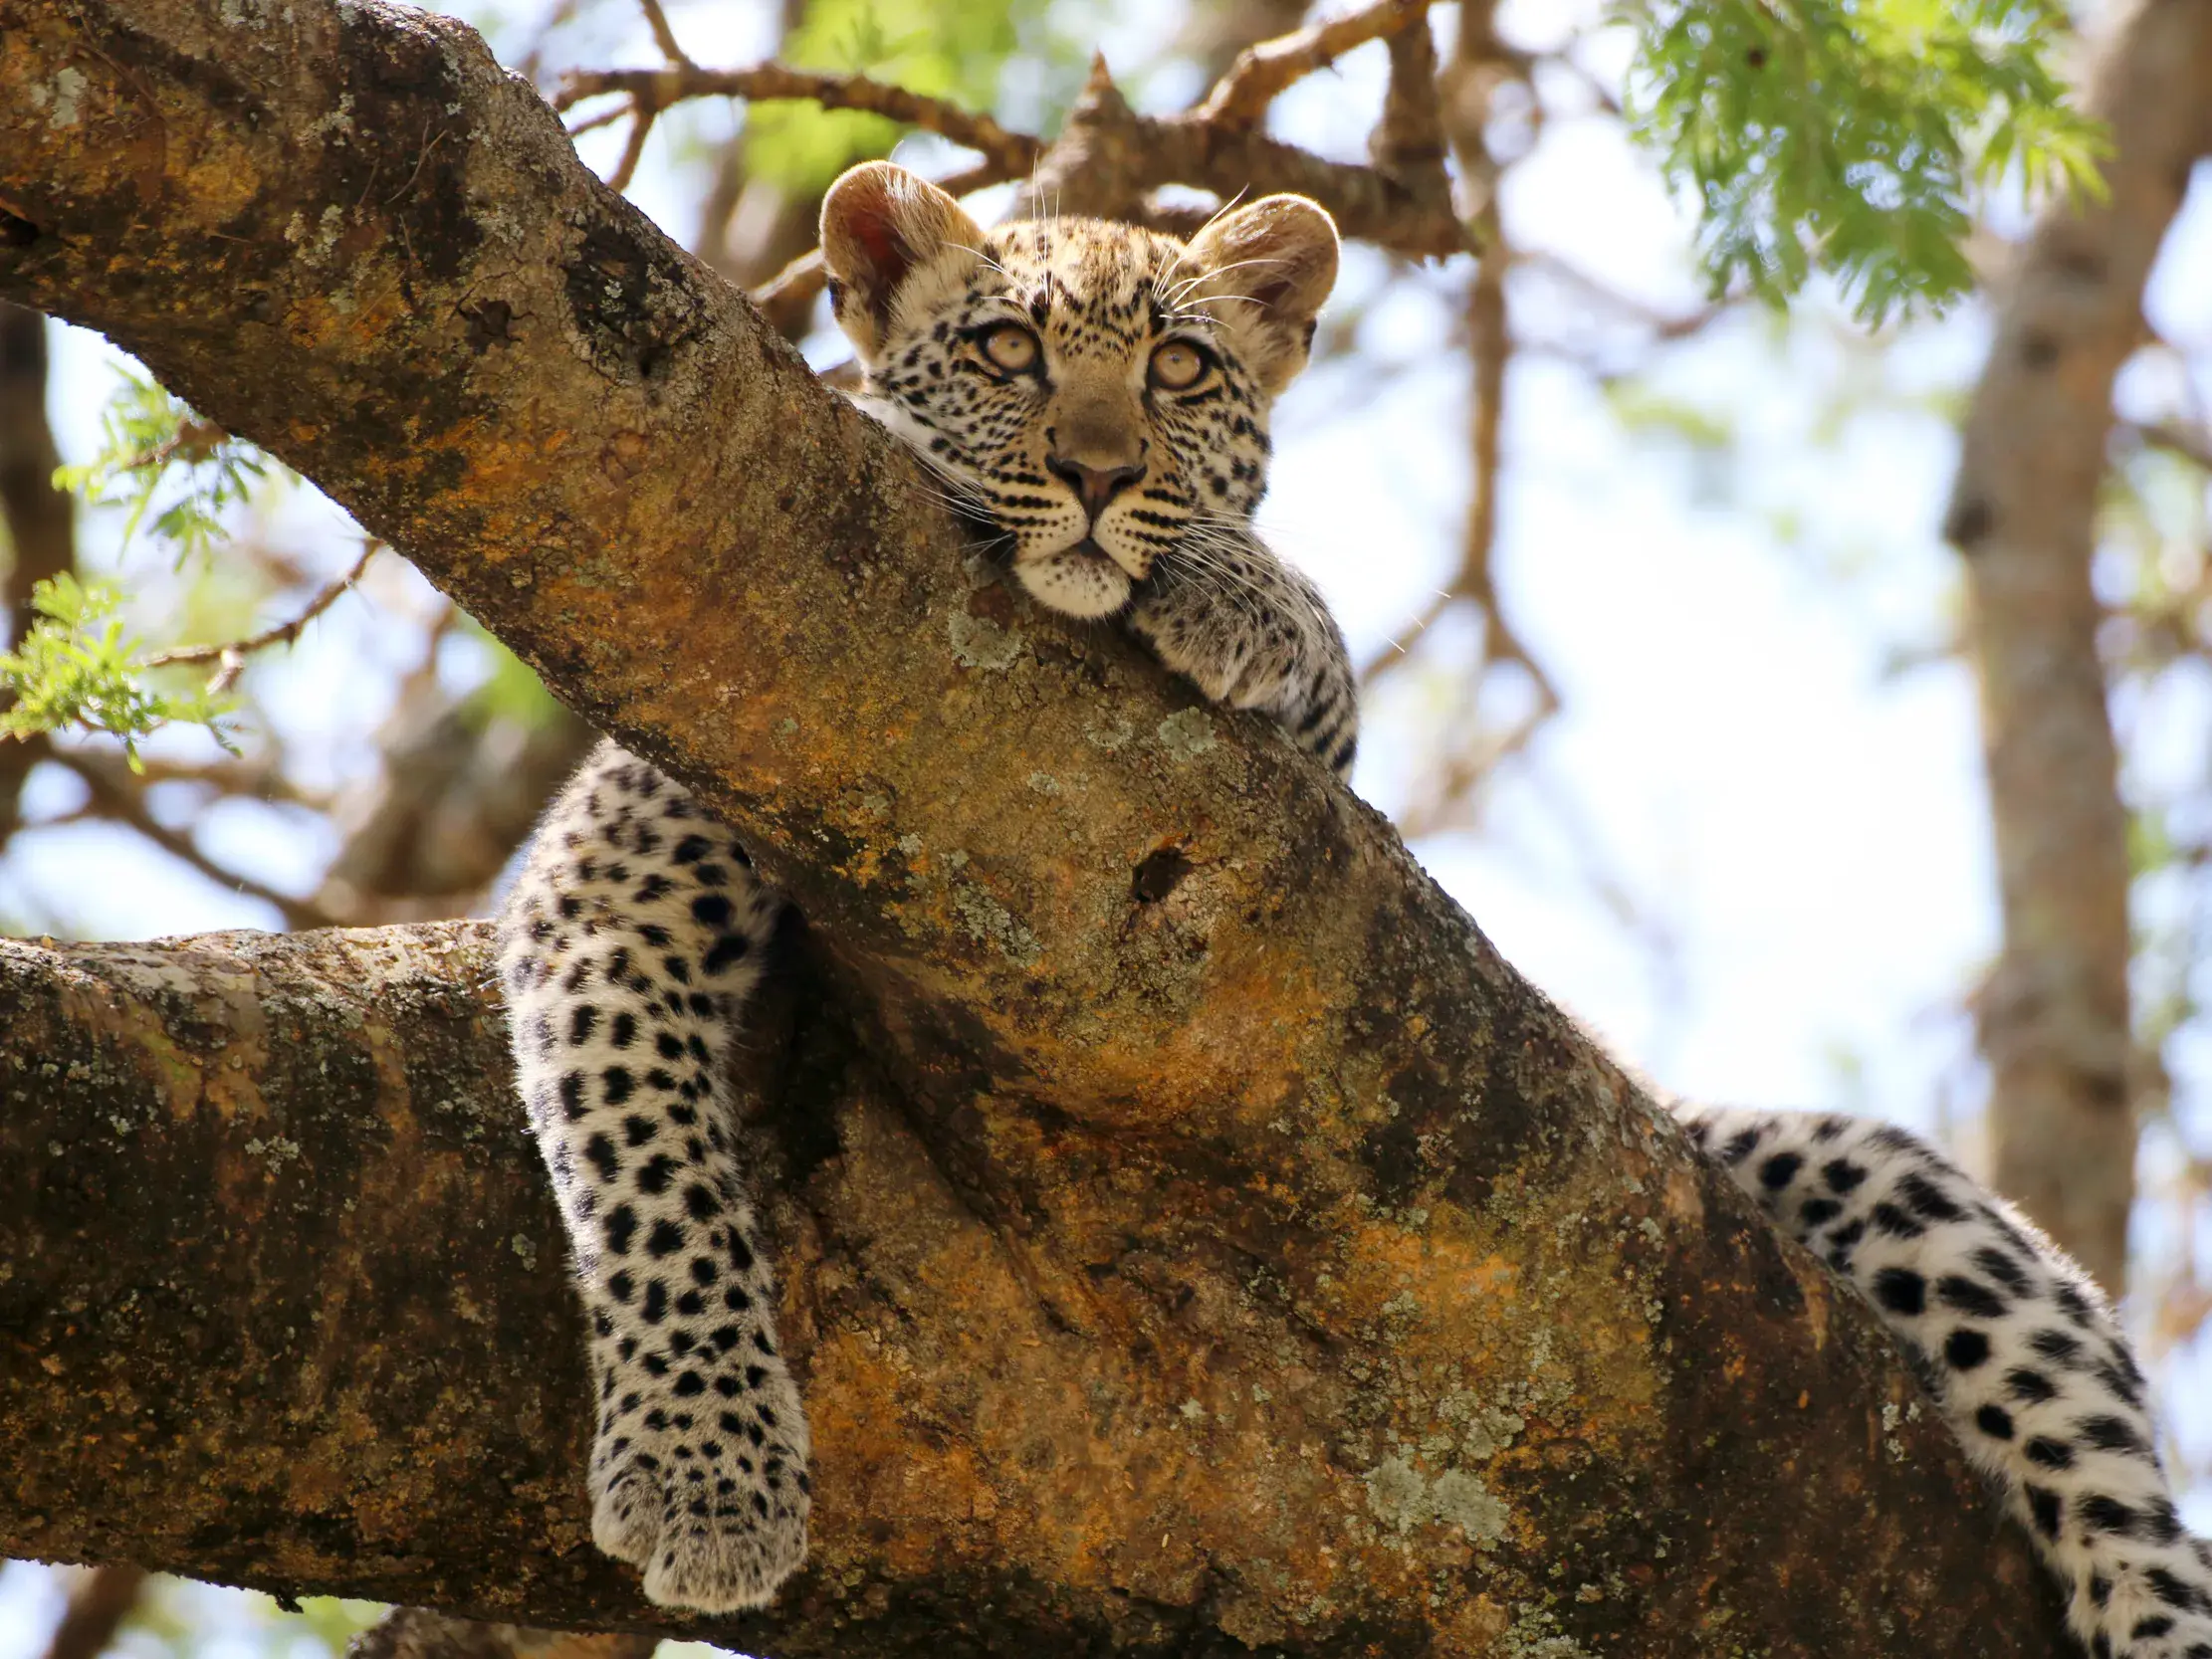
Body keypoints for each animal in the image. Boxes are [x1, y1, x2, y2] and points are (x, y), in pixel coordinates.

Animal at [496, 160, 2211, 1655]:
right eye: (1002, 351)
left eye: (1180, 368)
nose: (1100, 472)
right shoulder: (619, 877)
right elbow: (653, 1180)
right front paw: (708, 1475)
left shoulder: (1309, 787)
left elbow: (1312, 651)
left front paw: (1234, 589)